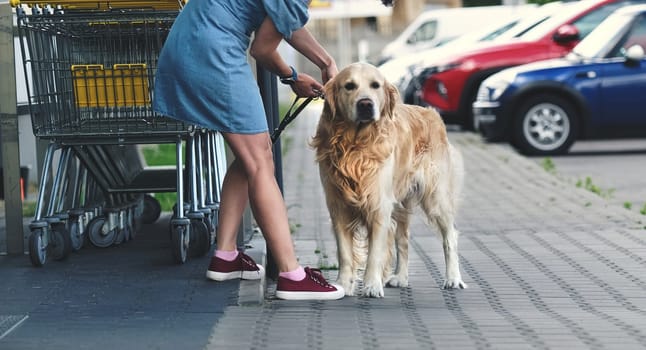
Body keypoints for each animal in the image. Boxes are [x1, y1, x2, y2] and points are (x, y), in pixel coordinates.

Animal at [312, 61, 468, 296]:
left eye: (375, 85)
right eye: (349, 86)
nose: (365, 104)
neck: (356, 146)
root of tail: (432, 114)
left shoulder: (379, 205)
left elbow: (375, 253)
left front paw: (371, 285)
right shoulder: (338, 205)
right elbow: (345, 253)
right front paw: (343, 284)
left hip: (436, 197)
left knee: (450, 236)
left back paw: (453, 278)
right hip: (401, 202)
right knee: (403, 239)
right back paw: (401, 277)